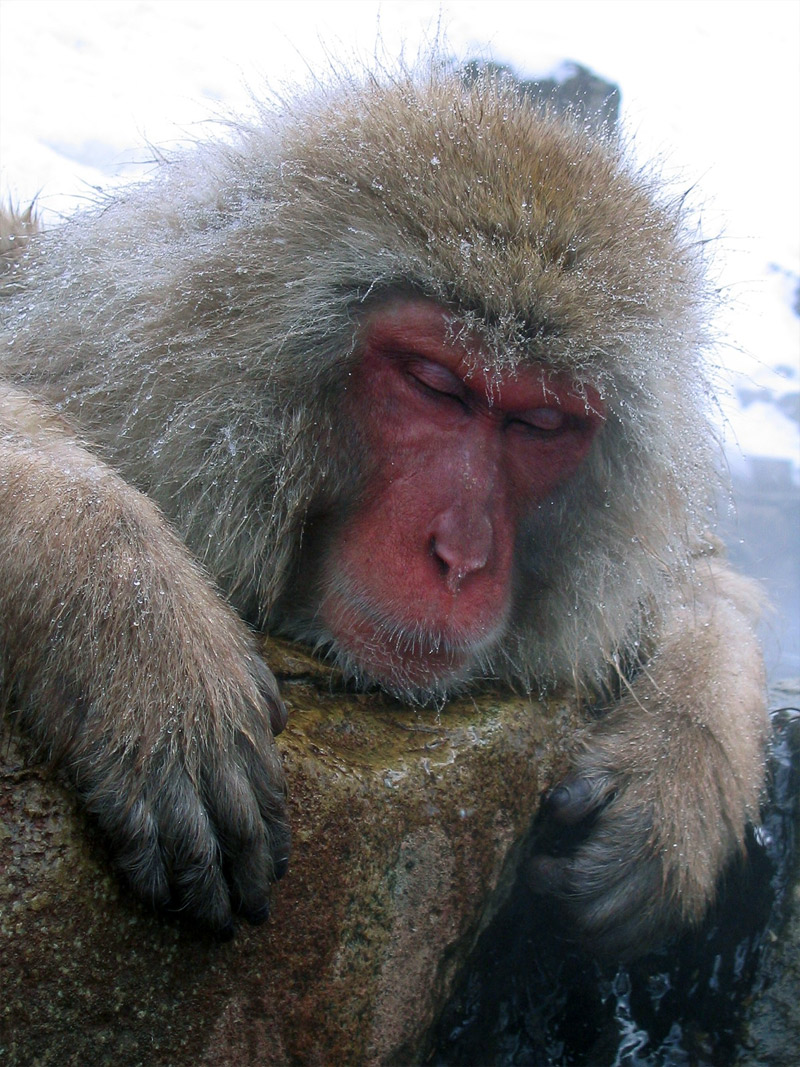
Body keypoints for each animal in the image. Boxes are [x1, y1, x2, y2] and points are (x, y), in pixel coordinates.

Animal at [0, 68, 772, 951]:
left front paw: (684, 758)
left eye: (540, 423)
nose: (462, 556)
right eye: (436, 384)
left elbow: (686, 569)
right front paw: (142, 637)